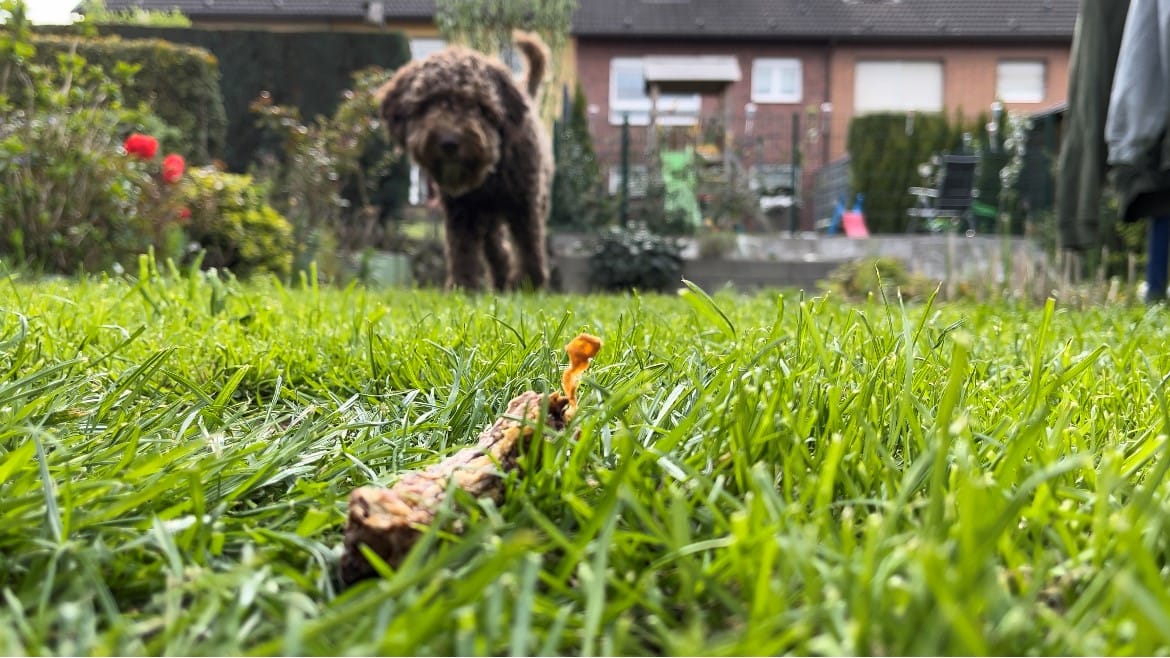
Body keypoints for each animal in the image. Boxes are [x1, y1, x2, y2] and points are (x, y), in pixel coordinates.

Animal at [379, 32, 552, 289]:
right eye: (428, 104)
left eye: (477, 105)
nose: (449, 142)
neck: (489, 176)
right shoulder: (461, 210)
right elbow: (462, 251)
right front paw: (463, 287)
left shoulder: (524, 203)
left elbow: (529, 245)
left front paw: (528, 284)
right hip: (488, 219)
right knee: (498, 250)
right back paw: (500, 281)